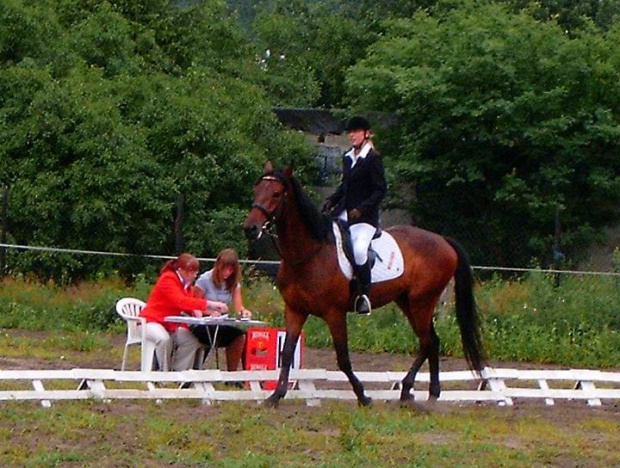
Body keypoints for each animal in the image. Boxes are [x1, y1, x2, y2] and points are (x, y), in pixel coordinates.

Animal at [242, 162, 484, 406]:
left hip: (422, 302)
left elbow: (343, 358)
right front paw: (275, 396)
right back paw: (425, 392)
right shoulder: (294, 310)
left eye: (276, 193)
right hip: (407, 301)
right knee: (431, 341)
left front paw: (363, 395)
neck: (308, 254)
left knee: (427, 341)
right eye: (255, 190)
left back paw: (417, 389)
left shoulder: (334, 313)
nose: (250, 228)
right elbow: (287, 353)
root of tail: (443, 240)